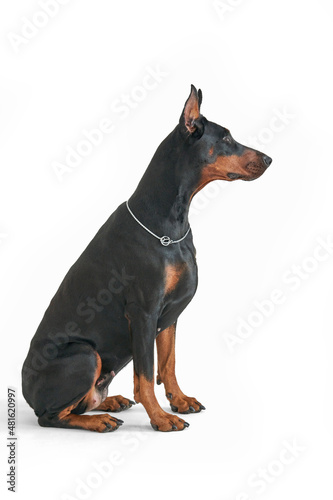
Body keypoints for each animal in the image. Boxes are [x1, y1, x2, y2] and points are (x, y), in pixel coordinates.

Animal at [21, 84, 270, 432]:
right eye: (226, 138)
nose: (269, 159)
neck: (170, 221)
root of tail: (25, 392)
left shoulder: (170, 315)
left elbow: (167, 364)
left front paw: (180, 401)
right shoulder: (143, 312)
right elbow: (145, 375)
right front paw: (161, 418)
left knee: (84, 402)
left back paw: (110, 401)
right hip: (85, 354)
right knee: (51, 417)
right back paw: (99, 421)